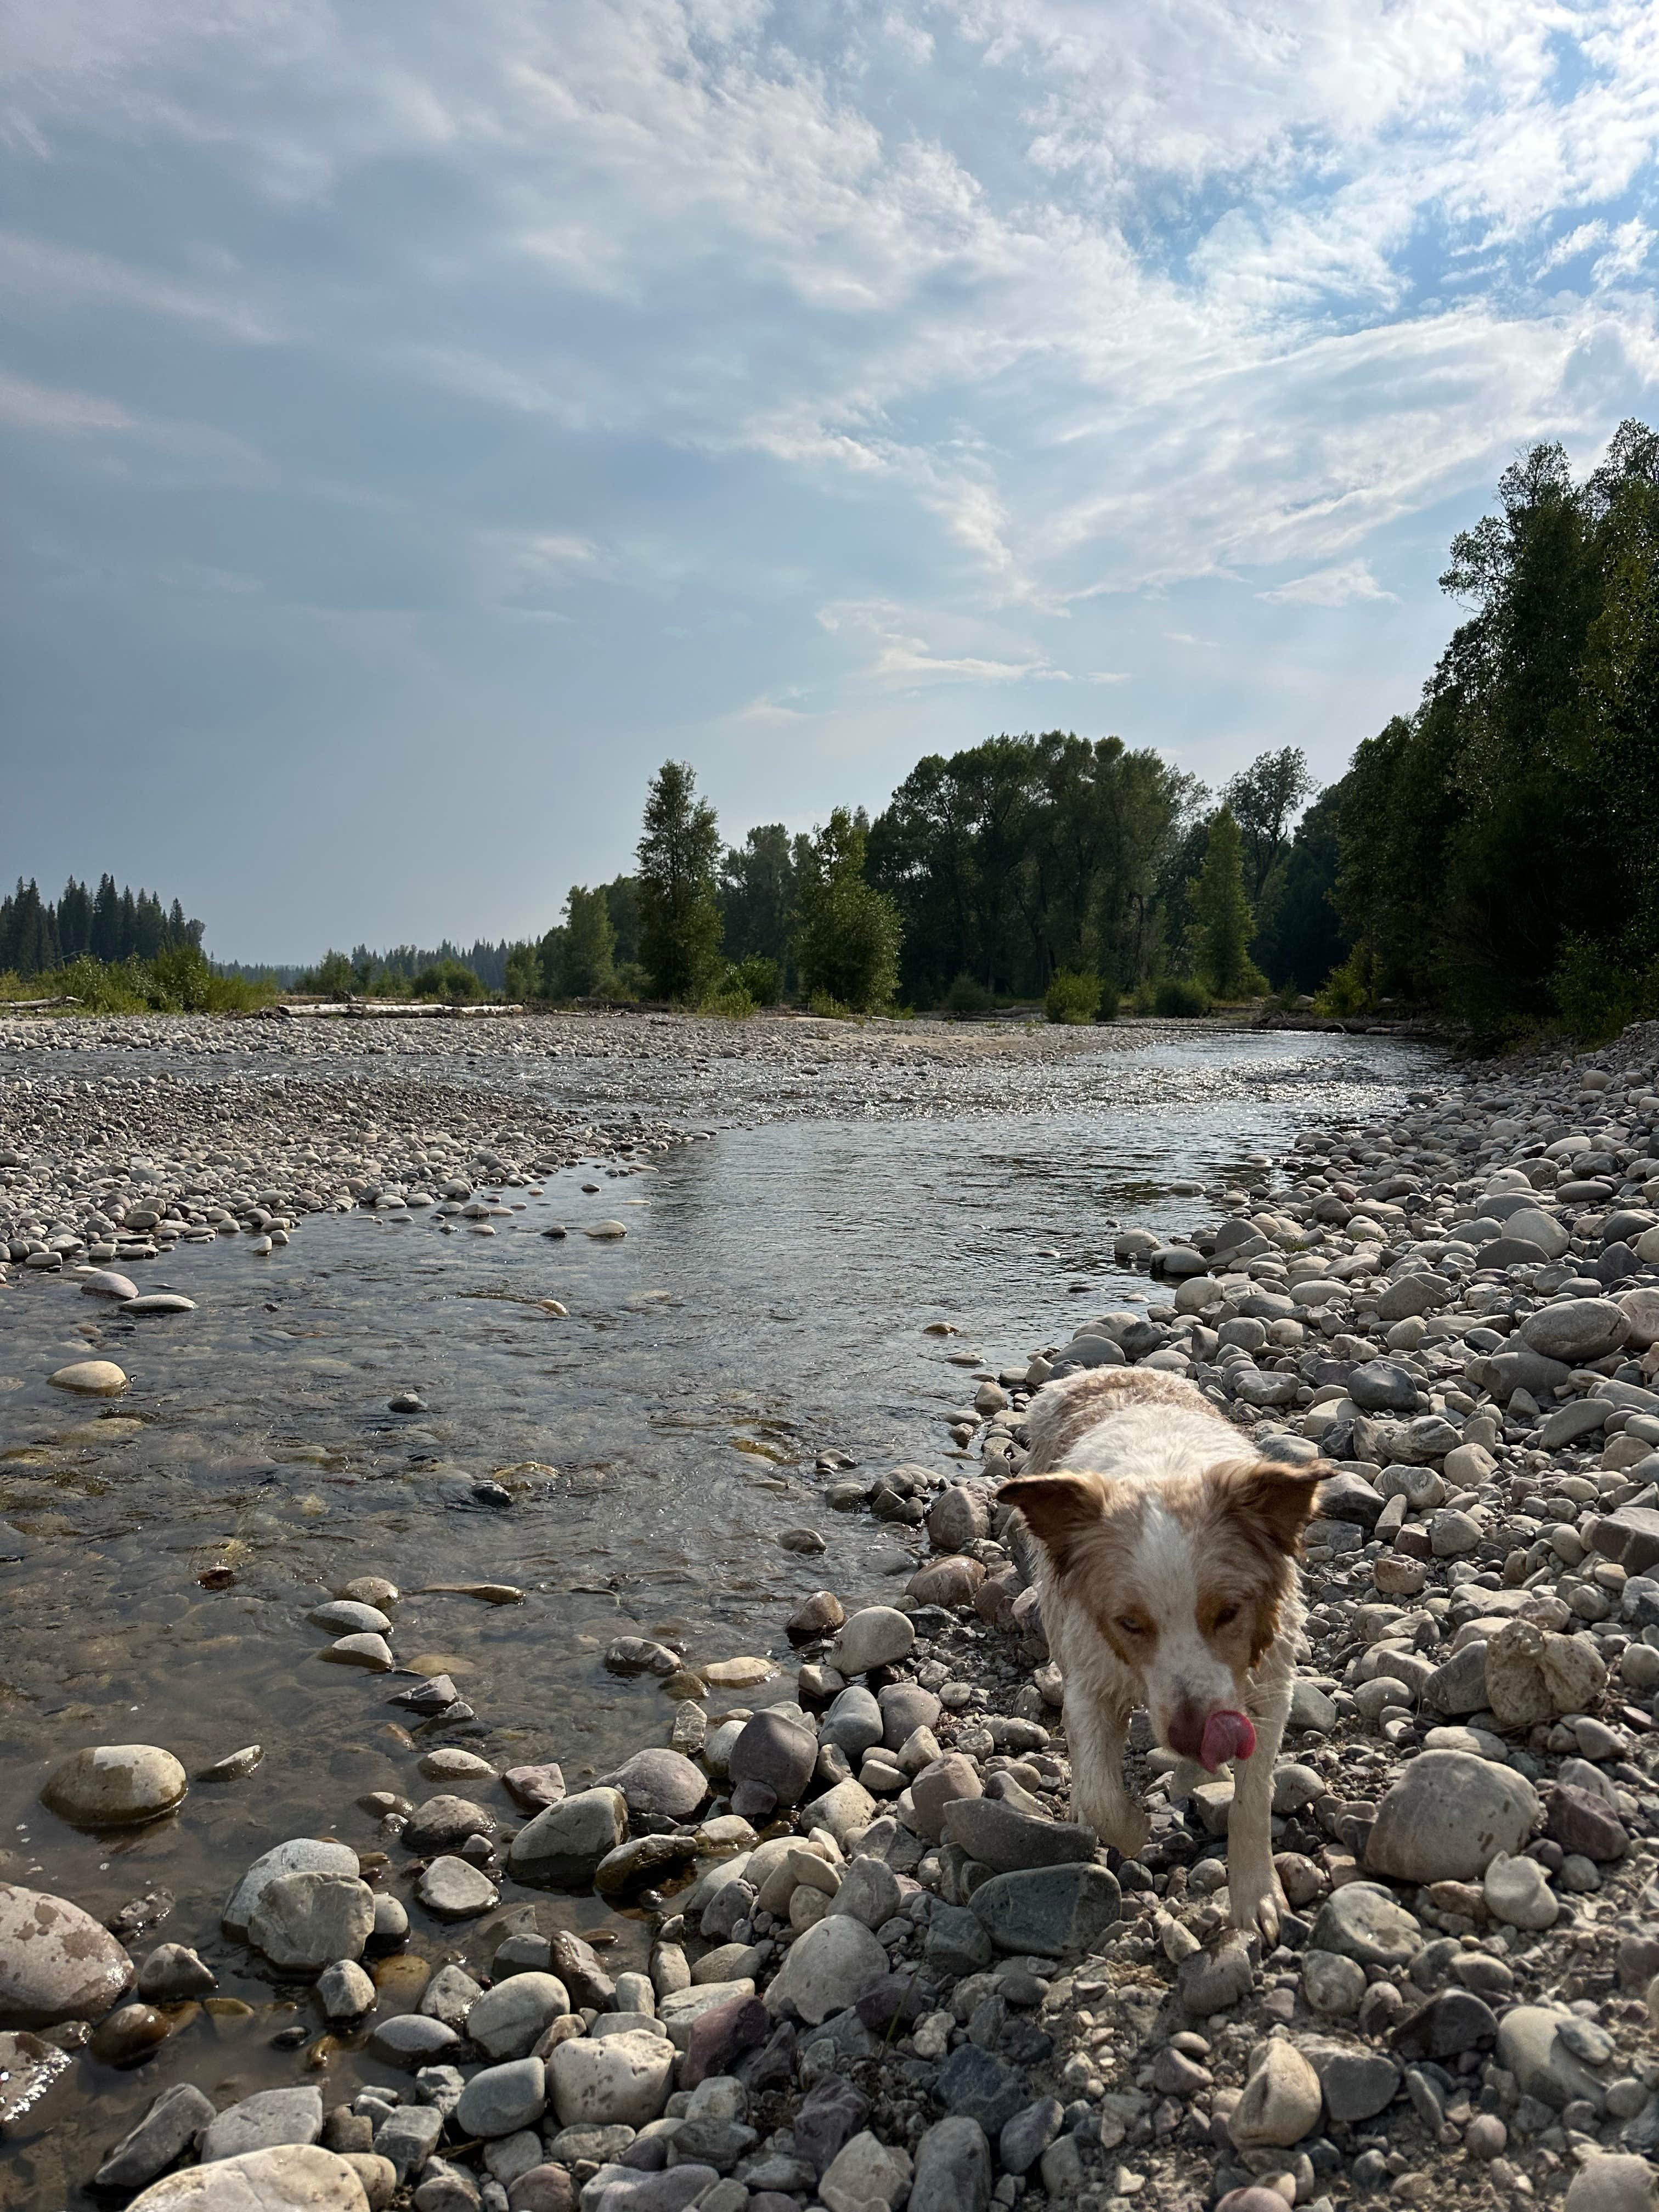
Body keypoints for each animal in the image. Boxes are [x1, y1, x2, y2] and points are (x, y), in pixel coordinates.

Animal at [1000, 1362, 1327, 1938]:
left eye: (1228, 1612)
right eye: (1130, 1623)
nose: (1196, 1735)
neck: (1163, 1473)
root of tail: (1113, 1368)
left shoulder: (1269, 1685)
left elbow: (1253, 1800)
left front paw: (1256, 1895)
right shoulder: (1089, 1674)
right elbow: (1101, 1793)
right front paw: (1130, 1830)